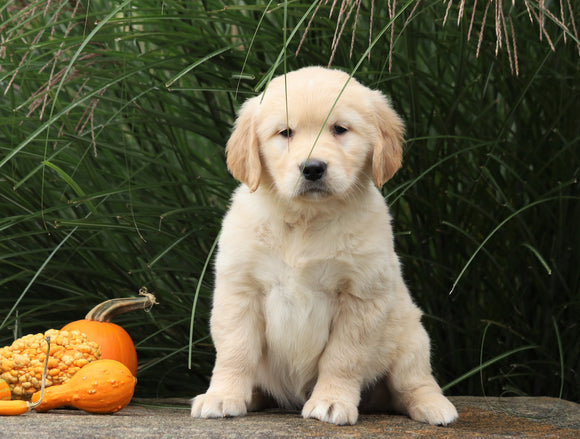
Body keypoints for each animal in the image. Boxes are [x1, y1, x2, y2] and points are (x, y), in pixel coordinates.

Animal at [193, 66, 460, 426]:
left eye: (340, 129)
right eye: (285, 133)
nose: (313, 168)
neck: (305, 220)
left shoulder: (361, 297)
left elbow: (342, 358)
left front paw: (332, 401)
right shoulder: (240, 289)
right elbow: (235, 351)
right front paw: (222, 395)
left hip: (411, 336)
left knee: (413, 382)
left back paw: (435, 406)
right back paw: (253, 395)